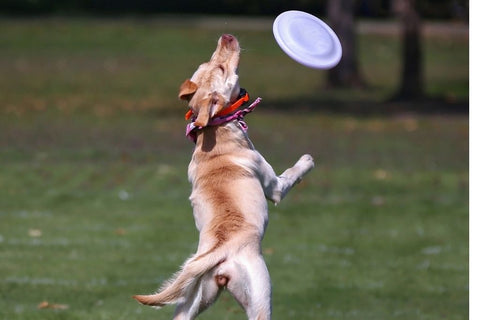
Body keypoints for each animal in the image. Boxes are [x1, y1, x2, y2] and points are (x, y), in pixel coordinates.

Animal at [133, 33, 316, 318]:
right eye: (221, 68)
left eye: (208, 62)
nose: (226, 37)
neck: (215, 130)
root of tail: (219, 254)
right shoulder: (273, 185)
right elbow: (290, 174)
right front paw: (307, 160)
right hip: (260, 296)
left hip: (194, 299)